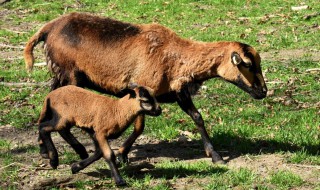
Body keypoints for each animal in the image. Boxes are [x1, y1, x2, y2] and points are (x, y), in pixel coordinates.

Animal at [24, 11, 268, 164]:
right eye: (248, 64)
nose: (263, 92)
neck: (177, 56)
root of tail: (48, 28)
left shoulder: (178, 91)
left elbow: (197, 117)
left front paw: (215, 155)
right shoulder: (142, 91)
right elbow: (140, 127)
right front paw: (122, 154)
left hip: (60, 77)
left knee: (47, 105)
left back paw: (45, 150)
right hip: (69, 75)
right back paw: (77, 151)